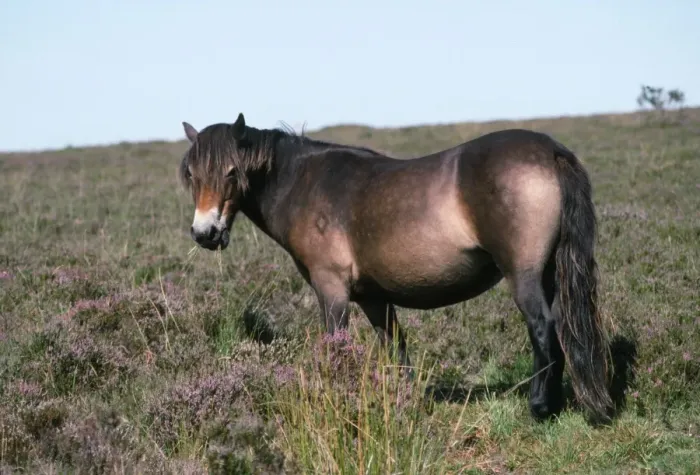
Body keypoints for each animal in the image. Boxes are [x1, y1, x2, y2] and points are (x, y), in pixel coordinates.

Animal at [177, 112, 613, 424]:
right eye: (193, 175)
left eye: (231, 171)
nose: (205, 232)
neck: (304, 185)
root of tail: (550, 150)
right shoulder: (374, 299)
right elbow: (395, 350)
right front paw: (406, 405)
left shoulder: (331, 292)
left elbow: (336, 348)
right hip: (551, 274)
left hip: (524, 275)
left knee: (543, 327)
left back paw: (540, 407)